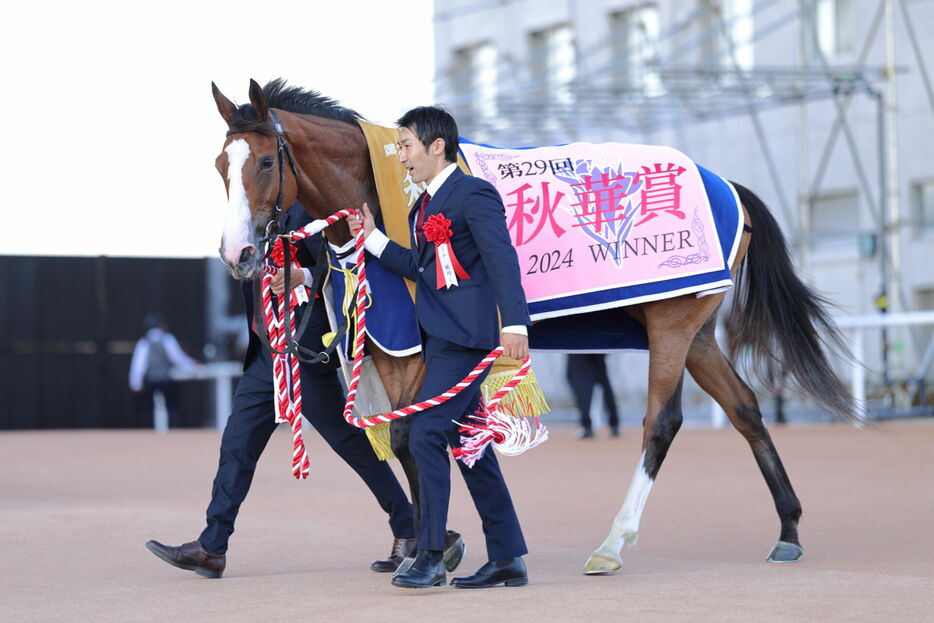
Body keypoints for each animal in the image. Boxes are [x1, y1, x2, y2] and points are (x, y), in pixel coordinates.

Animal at [212, 78, 856, 576]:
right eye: (221, 165)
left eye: (265, 161)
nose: (238, 253)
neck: (382, 186)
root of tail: (726, 185)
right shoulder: (396, 347)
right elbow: (404, 438)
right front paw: (429, 546)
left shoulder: (415, 343)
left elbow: (413, 436)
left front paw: (435, 548)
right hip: (695, 328)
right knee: (745, 408)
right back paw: (789, 531)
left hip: (672, 323)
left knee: (661, 422)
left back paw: (612, 543)